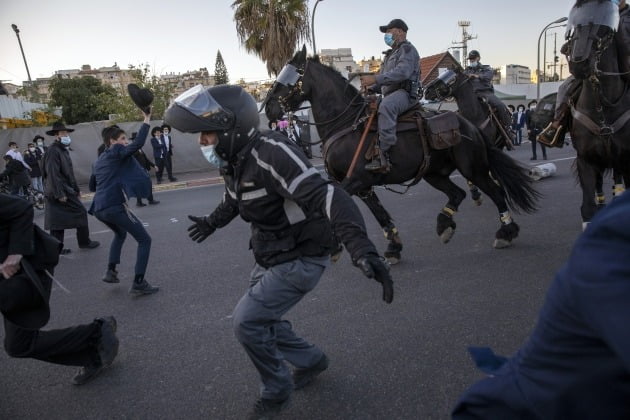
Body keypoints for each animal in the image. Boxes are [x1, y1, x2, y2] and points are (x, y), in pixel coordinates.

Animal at [264, 46, 540, 262]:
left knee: (496, 191)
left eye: (290, 75)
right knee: (457, 194)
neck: (346, 123)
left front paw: (332, 245)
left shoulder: (355, 181)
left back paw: (506, 232)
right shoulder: (363, 186)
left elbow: (328, 211)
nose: (268, 108)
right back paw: (445, 225)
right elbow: (381, 216)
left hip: (473, 169)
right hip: (434, 174)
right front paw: (393, 247)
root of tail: (469, 125)